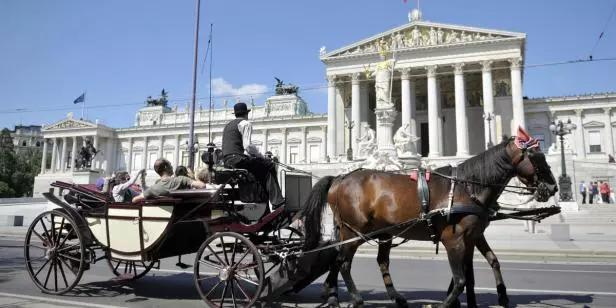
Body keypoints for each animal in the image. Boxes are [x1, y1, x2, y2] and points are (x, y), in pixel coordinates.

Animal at [300, 129, 560, 306]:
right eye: (536, 157)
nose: (553, 187)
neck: (468, 187)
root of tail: (339, 178)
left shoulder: (473, 236)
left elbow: (483, 267)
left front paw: (498, 297)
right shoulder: (453, 240)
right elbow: (460, 279)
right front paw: (448, 303)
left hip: (377, 233)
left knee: (366, 260)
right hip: (353, 231)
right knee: (343, 261)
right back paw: (354, 297)